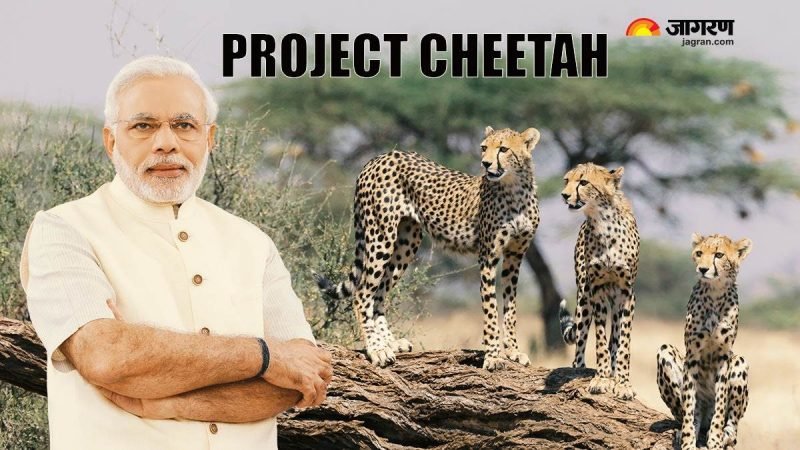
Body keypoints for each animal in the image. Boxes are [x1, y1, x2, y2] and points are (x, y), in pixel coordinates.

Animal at [315, 126, 542, 370]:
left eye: (503, 149)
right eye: (484, 147)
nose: (486, 163)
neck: (514, 187)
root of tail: (380, 157)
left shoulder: (515, 256)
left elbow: (510, 308)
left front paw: (513, 352)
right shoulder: (488, 257)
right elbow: (490, 309)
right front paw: (492, 356)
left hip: (406, 243)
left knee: (379, 294)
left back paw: (390, 343)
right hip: (380, 236)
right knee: (362, 293)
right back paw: (376, 349)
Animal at [558, 162, 640, 400]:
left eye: (583, 182)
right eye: (567, 180)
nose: (564, 195)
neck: (604, 221)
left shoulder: (626, 293)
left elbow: (622, 344)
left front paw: (622, 383)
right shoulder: (597, 291)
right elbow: (601, 341)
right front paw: (601, 379)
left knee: (616, 338)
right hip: (584, 298)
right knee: (581, 338)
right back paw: (579, 368)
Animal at [657, 233, 751, 450]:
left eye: (719, 255)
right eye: (699, 253)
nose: (702, 269)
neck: (715, 292)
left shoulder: (724, 357)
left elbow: (721, 404)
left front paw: (715, 440)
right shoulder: (692, 356)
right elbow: (689, 406)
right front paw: (687, 440)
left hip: (739, 362)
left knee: (732, 425)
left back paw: (725, 435)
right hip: (665, 351)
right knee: (686, 412)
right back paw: (683, 430)